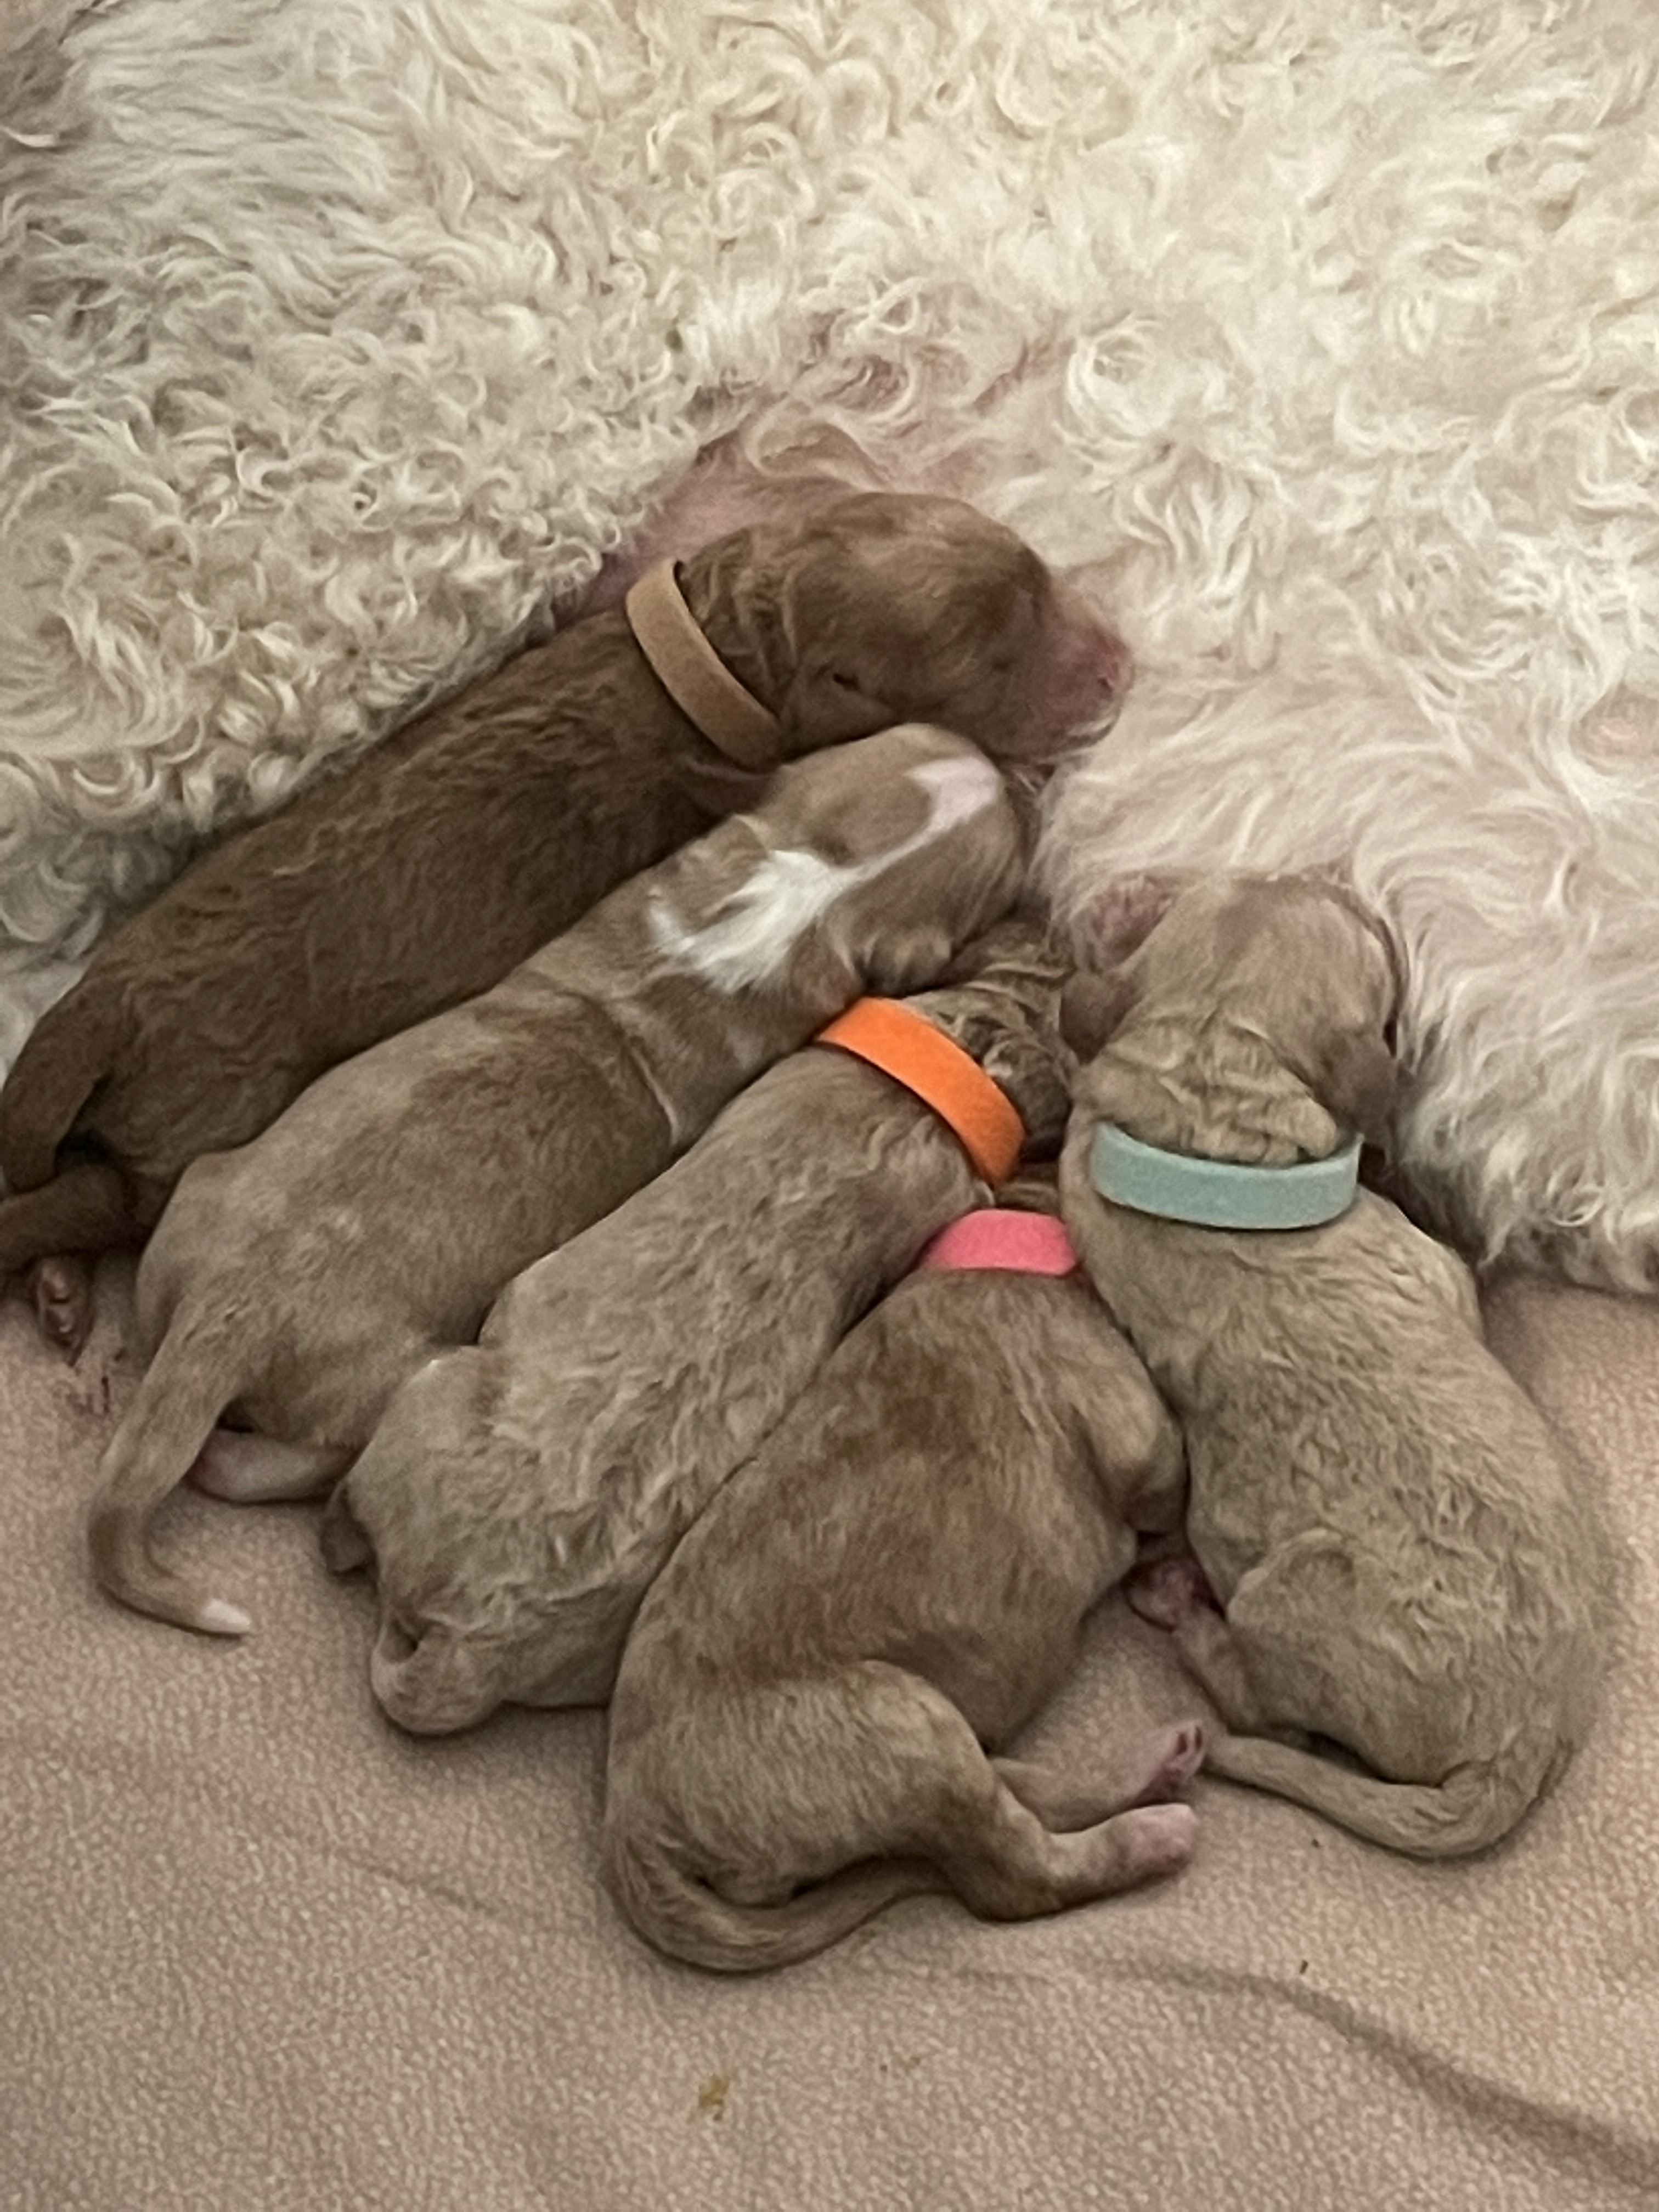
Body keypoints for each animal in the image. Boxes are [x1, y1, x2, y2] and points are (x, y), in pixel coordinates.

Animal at [0, 490, 1128, 1355]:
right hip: (188, 1130)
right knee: (78, 1196)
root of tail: (108, 998)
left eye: (1039, 574)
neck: (719, 660)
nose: (1120, 663)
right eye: (989, 661)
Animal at [87, 723, 1027, 1640]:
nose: (1008, 768)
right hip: (386, 1372)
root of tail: (228, 1316)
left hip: (197, 1205)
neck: (803, 892)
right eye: (1004, 871)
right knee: (295, 1457)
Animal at [601, 1174, 1203, 1974]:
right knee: (1013, 1876)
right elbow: (1171, 1488)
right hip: (903, 1726)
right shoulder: (1140, 1435)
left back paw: (1153, 1769)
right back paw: (1152, 1837)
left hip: (928, 1738)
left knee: (1019, 1796)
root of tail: (631, 1825)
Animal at [1056, 870, 1608, 1858]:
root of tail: (1514, 1755)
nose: (1331, 871)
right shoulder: (1432, 1267)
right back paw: (1182, 1610)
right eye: (1366, 934)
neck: (1206, 1133)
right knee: (1270, 1718)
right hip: (1285, 1597)